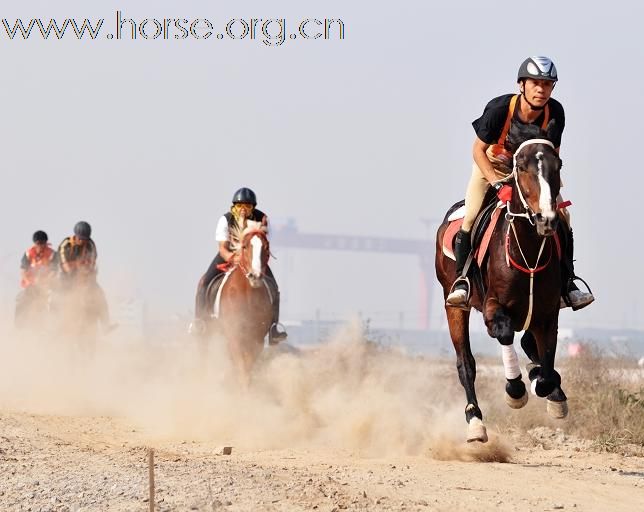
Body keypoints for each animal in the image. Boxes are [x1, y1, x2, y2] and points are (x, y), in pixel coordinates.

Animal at [206, 222, 274, 386]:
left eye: (266, 247)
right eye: (244, 246)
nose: (255, 276)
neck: (247, 295)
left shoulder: (256, 339)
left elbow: (247, 369)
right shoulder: (234, 335)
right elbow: (241, 368)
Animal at [438, 134, 568, 442]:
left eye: (557, 165)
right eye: (521, 167)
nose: (546, 218)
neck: (529, 254)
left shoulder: (547, 314)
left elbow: (546, 364)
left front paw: (547, 387)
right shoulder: (492, 307)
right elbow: (504, 332)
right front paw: (516, 391)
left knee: (529, 344)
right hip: (453, 304)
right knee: (466, 363)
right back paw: (475, 421)